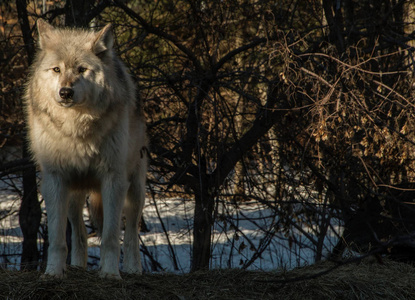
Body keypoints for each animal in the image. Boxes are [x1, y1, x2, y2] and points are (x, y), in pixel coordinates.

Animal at [24, 19, 148, 278]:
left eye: (82, 70)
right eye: (57, 70)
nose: (65, 92)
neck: (76, 127)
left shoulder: (113, 179)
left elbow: (111, 237)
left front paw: (110, 273)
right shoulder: (55, 179)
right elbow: (58, 238)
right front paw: (53, 272)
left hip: (135, 188)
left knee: (132, 232)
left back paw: (133, 269)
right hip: (74, 195)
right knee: (79, 233)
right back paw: (77, 267)